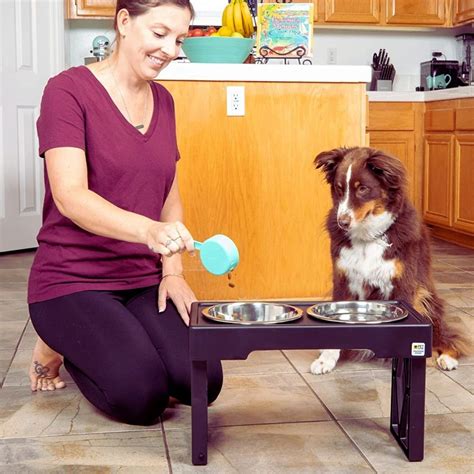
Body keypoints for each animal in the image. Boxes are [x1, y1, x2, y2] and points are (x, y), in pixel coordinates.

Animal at [310, 146, 468, 376]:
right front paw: (326, 360)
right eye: (339, 189)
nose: (342, 222)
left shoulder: (403, 284)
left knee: (448, 338)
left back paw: (446, 358)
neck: (367, 236)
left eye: (363, 189)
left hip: (426, 298)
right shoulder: (342, 279)